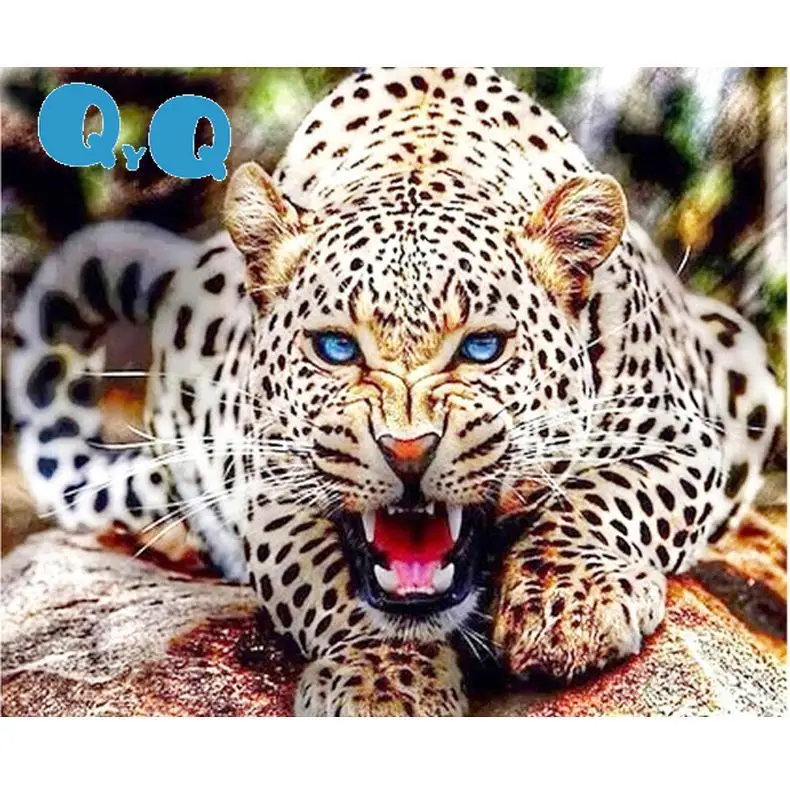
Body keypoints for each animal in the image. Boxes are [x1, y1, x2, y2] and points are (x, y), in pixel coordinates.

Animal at [7, 67, 784, 716]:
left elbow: (605, 497)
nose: (408, 451)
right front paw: (383, 680)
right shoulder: (266, 482)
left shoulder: (683, 433)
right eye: (336, 348)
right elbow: (333, 582)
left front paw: (570, 606)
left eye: (481, 348)